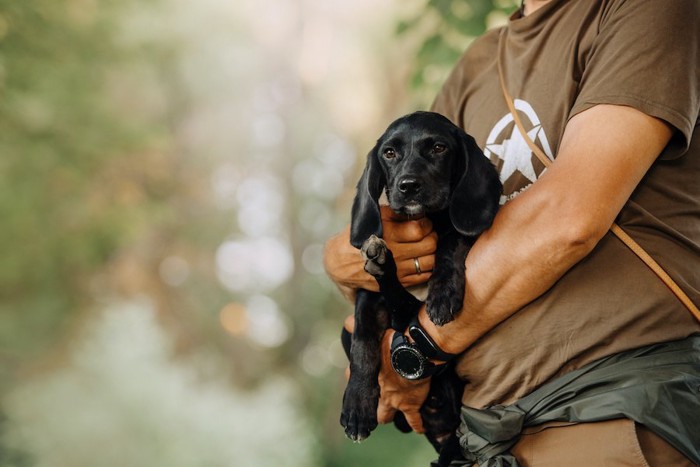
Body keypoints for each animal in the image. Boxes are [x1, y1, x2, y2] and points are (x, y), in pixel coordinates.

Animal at [340, 111, 500, 458]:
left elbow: (450, 242)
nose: (408, 185)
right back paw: (381, 263)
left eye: (439, 147)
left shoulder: (460, 234)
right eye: (389, 153)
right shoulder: (365, 299)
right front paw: (357, 405)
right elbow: (363, 344)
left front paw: (442, 295)